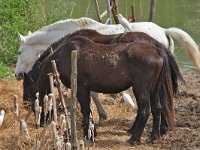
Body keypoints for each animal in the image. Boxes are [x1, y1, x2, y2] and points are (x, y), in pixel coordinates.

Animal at [32, 35, 184, 145]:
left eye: (37, 100)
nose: (38, 123)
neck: (64, 56)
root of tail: (157, 50)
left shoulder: (81, 88)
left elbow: (86, 111)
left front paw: (89, 136)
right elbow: (88, 111)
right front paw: (91, 133)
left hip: (141, 89)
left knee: (145, 111)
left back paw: (133, 139)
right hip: (153, 90)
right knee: (157, 108)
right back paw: (153, 137)